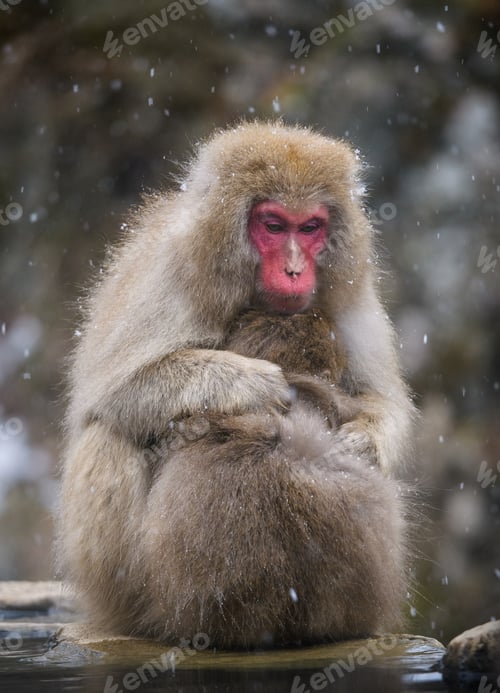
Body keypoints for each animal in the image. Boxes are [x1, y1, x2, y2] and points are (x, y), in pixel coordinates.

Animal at [58, 121, 414, 648]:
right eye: (274, 226)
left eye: (310, 227)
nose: (294, 270)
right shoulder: (171, 277)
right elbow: (115, 391)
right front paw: (253, 382)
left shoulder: (350, 295)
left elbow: (381, 398)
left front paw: (361, 441)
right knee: (108, 433)